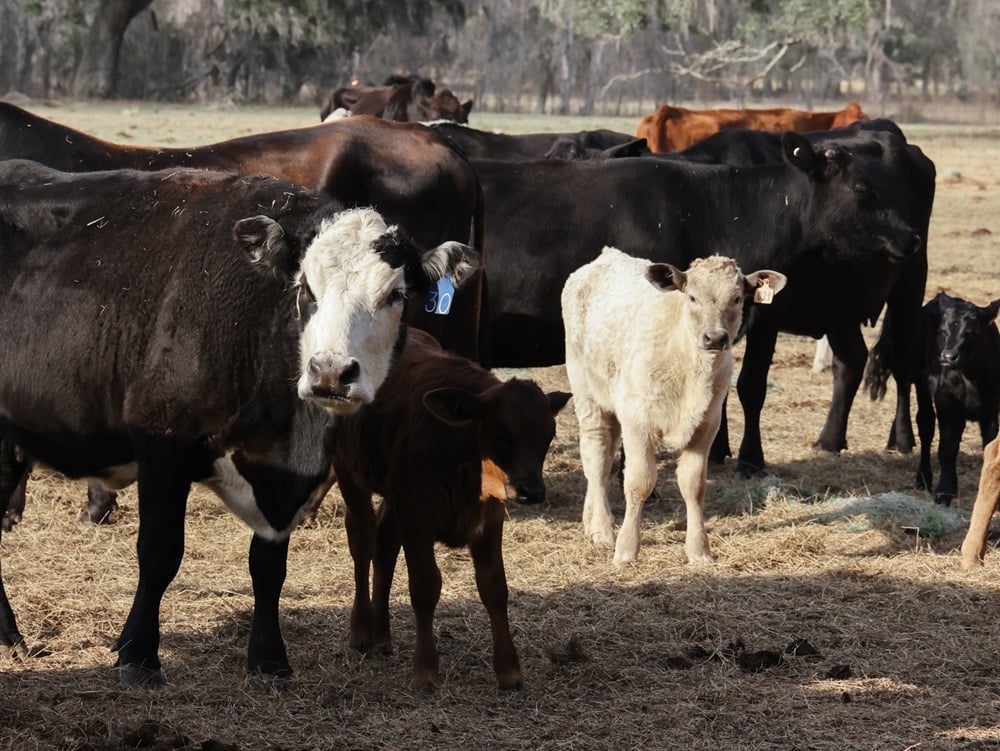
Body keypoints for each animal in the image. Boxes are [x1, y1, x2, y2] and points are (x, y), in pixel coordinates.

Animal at [0, 161, 479, 685]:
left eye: (395, 295)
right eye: (305, 289)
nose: (330, 372)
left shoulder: (285, 480)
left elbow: (268, 567)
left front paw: (269, 658)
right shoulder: (163, 444)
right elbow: (160, 552)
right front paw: (138, 654)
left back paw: (11, 638)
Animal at [332, 328, 570, 690]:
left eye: (548, 435)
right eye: (501, 433)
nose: (532, 491)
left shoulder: (489, 516)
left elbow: (494, 586)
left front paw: (509, 670)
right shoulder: (416, 512)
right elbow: (425, 585)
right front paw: (426, 670)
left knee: (385, 545)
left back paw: (382, 635)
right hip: (349, 471)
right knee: (363, 541)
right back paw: (361, 631)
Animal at [563, 250, 786, 565]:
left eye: (736, 298)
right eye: (692, 297)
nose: (714, 337)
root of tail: (606, 256)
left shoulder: (707, 424)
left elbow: (694, 485)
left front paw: (699, 550)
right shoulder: (637, 420)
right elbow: (639, 481)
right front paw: (626, 550)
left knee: (605, 458)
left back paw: (590, 522)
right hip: (586, 391)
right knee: (595, 457)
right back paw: (603, 531)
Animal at [666, 119, 934, 474]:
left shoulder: (767, 314)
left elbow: (750, 383)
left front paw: (750, 459)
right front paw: (716, 450)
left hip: (909, 286)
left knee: (904, 363)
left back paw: (901, 439)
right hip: (838, 307)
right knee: (851, 361)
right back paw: (830, 439)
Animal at [908, 293, 999, 505]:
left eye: (972, 332)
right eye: (943, 331)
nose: (948, 357)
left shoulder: (991, 409)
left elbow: (989, 447)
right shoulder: (946, 402)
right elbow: (947, 448)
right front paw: (944, 493)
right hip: (920, 379)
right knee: (926, 426)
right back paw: (923, 479)